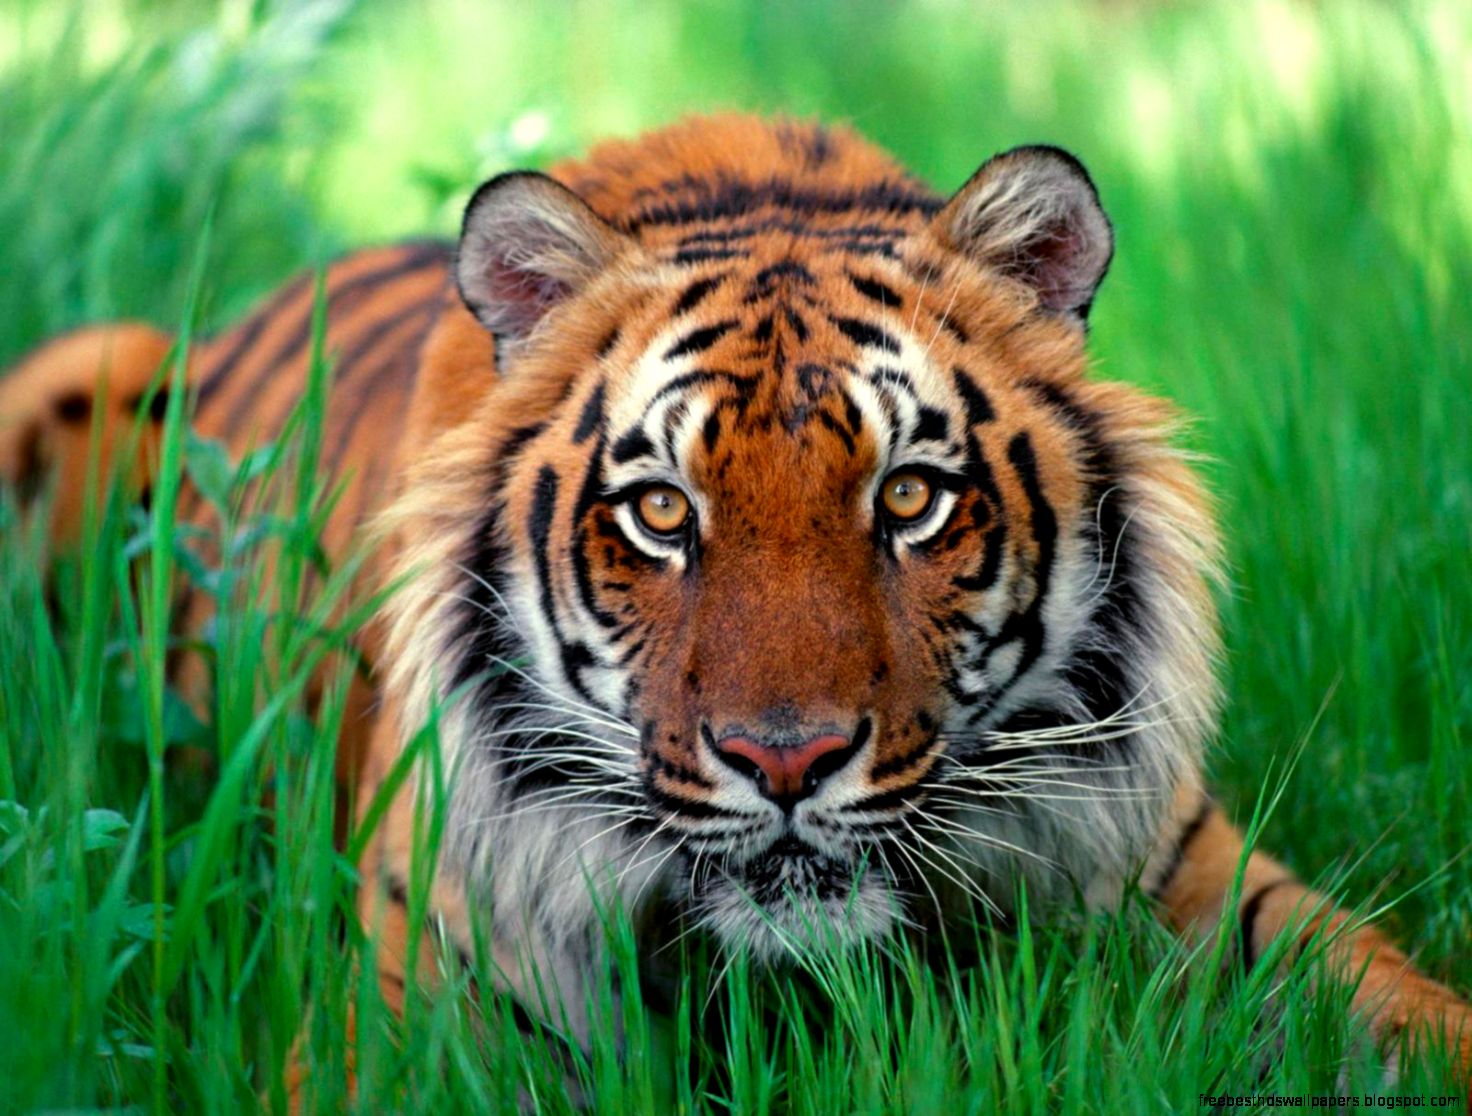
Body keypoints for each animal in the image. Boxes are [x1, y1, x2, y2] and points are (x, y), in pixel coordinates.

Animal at [2, 114, 1467, 1096]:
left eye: (909, 498)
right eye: (661, 515)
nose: (787, 762)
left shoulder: (1193, 875)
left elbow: (1399, 1012)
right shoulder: (413, 1005)